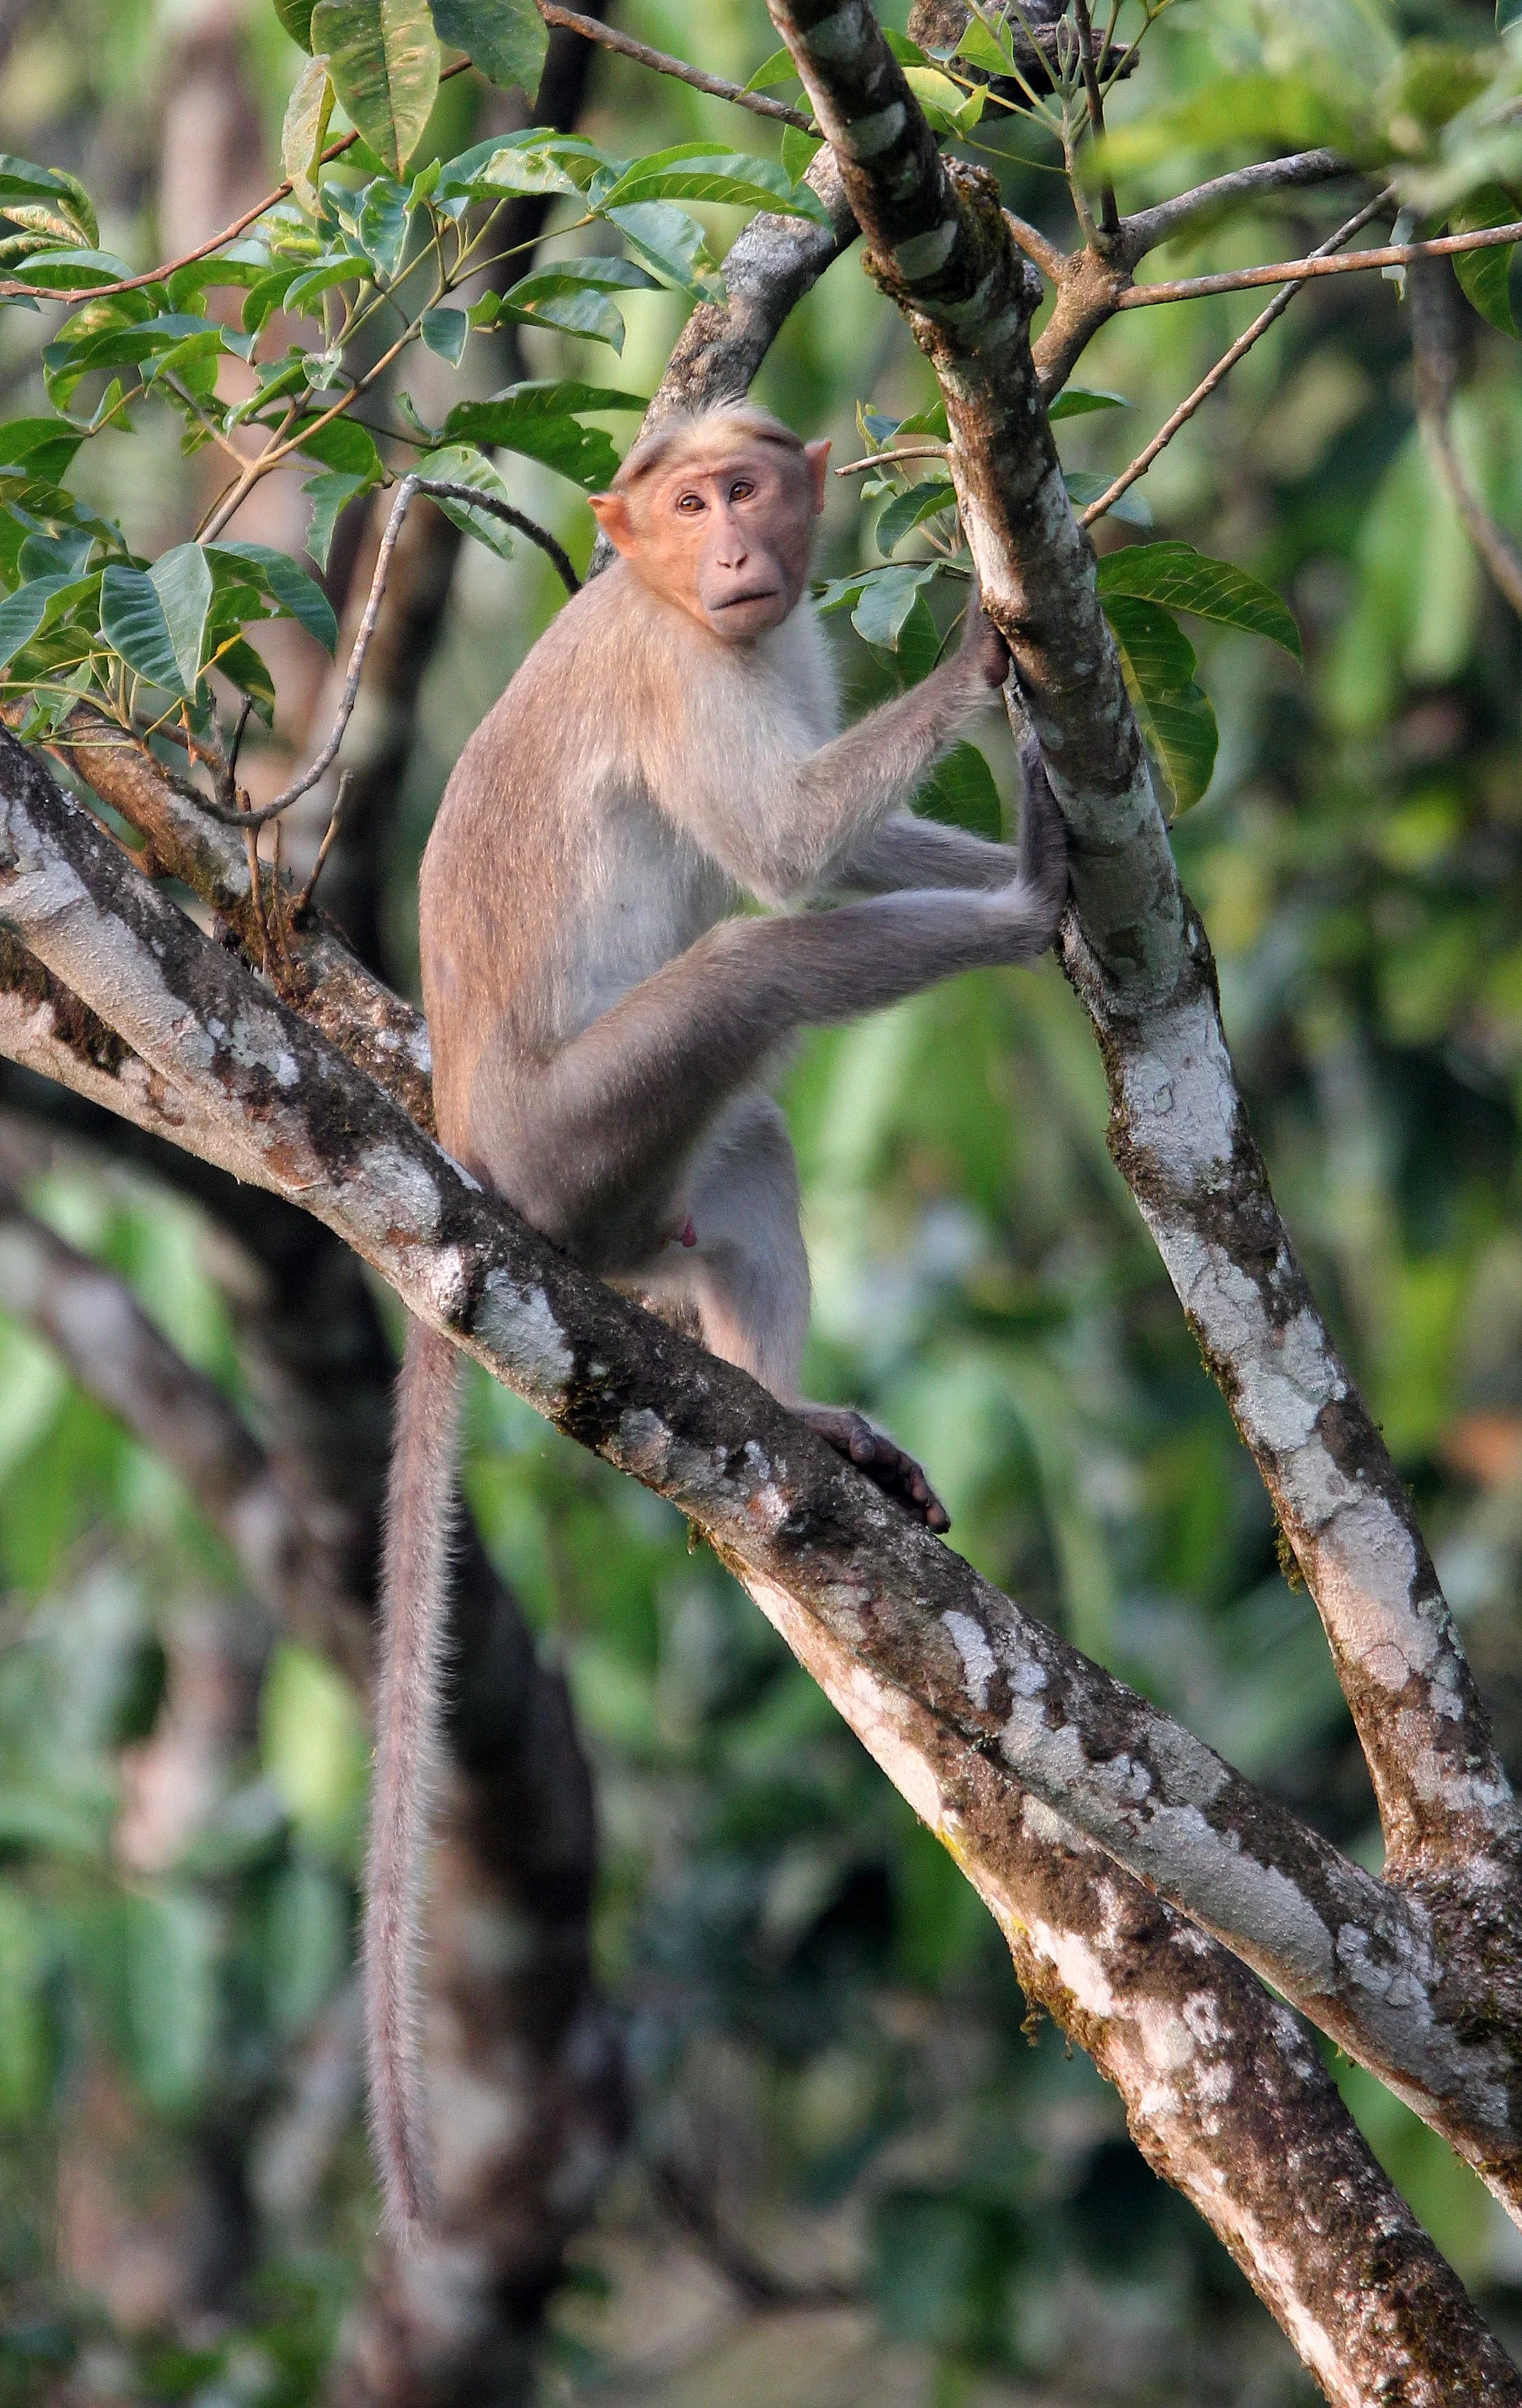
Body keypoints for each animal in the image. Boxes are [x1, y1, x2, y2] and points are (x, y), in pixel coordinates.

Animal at [365, 400, 1069, 2241]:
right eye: (686, 504)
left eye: (744, 486)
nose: (736, 540)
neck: (689, 612)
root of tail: (463, 1149)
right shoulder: (690, 675)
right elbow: (787, 851)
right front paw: (983, 663)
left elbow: (845, 838)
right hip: (581, 1130)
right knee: (751, 966)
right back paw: (1021, 908)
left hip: (623, 1179)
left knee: (745, 1131)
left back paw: (796, 1415)